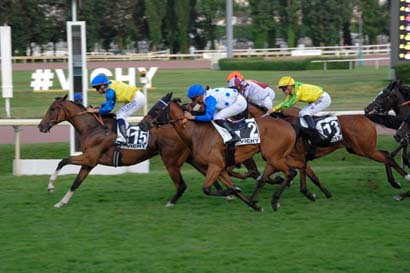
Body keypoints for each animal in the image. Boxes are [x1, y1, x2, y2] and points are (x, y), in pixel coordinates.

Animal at [38, 94, 224, 207]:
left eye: (52, 109)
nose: (41, 126)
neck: (93, 128)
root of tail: (179, 125)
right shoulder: (89, 163)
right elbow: (76, 183)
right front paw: (61, 202)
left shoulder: (89, 158)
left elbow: (63, 161)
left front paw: (50, 186)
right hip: (190, 157)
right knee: (212, 172)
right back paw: (226, 193)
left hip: (171, 160)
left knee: (184, 184)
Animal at [139, 93, 308, 210]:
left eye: (157, 108)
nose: (142, 124)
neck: (197, 133)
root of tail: (289, 125)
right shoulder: (220, 168)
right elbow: (232, 186)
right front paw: (253, 204)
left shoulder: (215, 165)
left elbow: (207, 189)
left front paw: (233, 192)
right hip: (277, 157)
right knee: (294, 168)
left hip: (274, 157)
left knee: (291, 172)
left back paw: (276, 200)